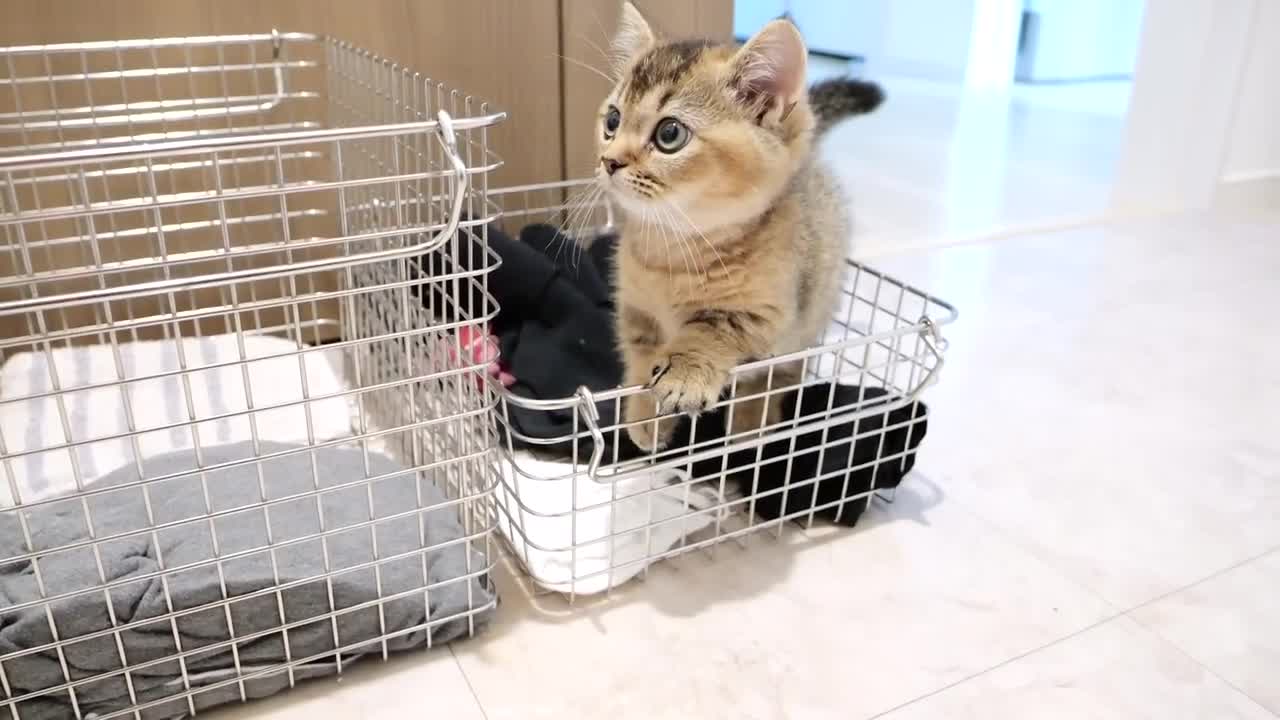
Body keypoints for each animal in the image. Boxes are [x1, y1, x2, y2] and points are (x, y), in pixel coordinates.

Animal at [596, 2, 880, 448]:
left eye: (670, 133)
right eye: (612, 120)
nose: (609, 161)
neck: (673, 250)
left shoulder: (768, 312)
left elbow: (713, 330)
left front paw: (685, 370)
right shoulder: (635, 311)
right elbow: (640, 365)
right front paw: (644, 423)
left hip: (809, 318)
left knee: (776, 375)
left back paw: (751, 424)